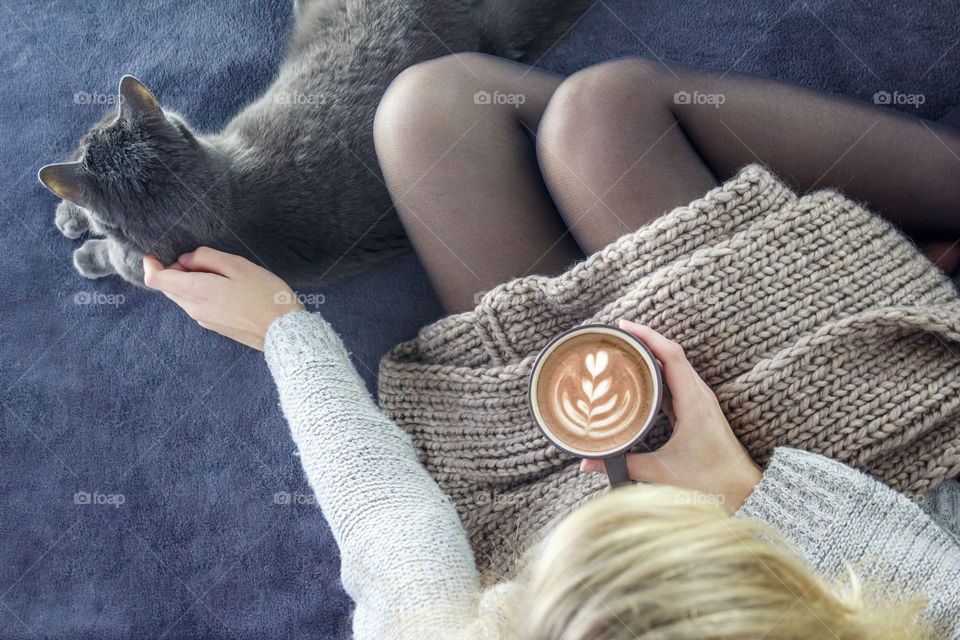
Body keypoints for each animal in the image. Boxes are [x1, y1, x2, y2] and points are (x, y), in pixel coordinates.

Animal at [37, 0, 588, 288]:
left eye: (86, 135)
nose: (83, 136)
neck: (219, 202)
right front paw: (70, 218)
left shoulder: (146, 265)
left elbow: (114, 257)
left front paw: (84, 247)